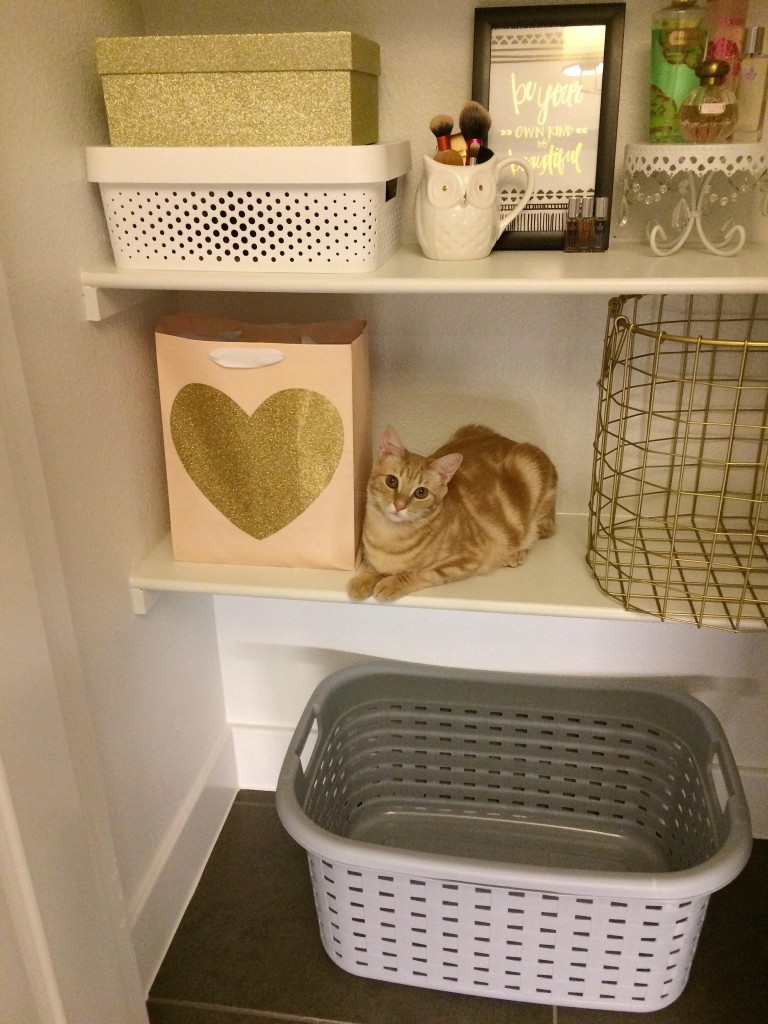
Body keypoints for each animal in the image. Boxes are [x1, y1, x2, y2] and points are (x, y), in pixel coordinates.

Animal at [350, 421, 561, 598]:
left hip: (530, 476)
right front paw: (364, 580)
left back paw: (516, 552)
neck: (388, 537)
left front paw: (392, 582)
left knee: (537, 532)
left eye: (421, 492)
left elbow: (420, 573)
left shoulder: (465, 559)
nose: (399, 505)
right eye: (392, 481)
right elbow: (374, 567)